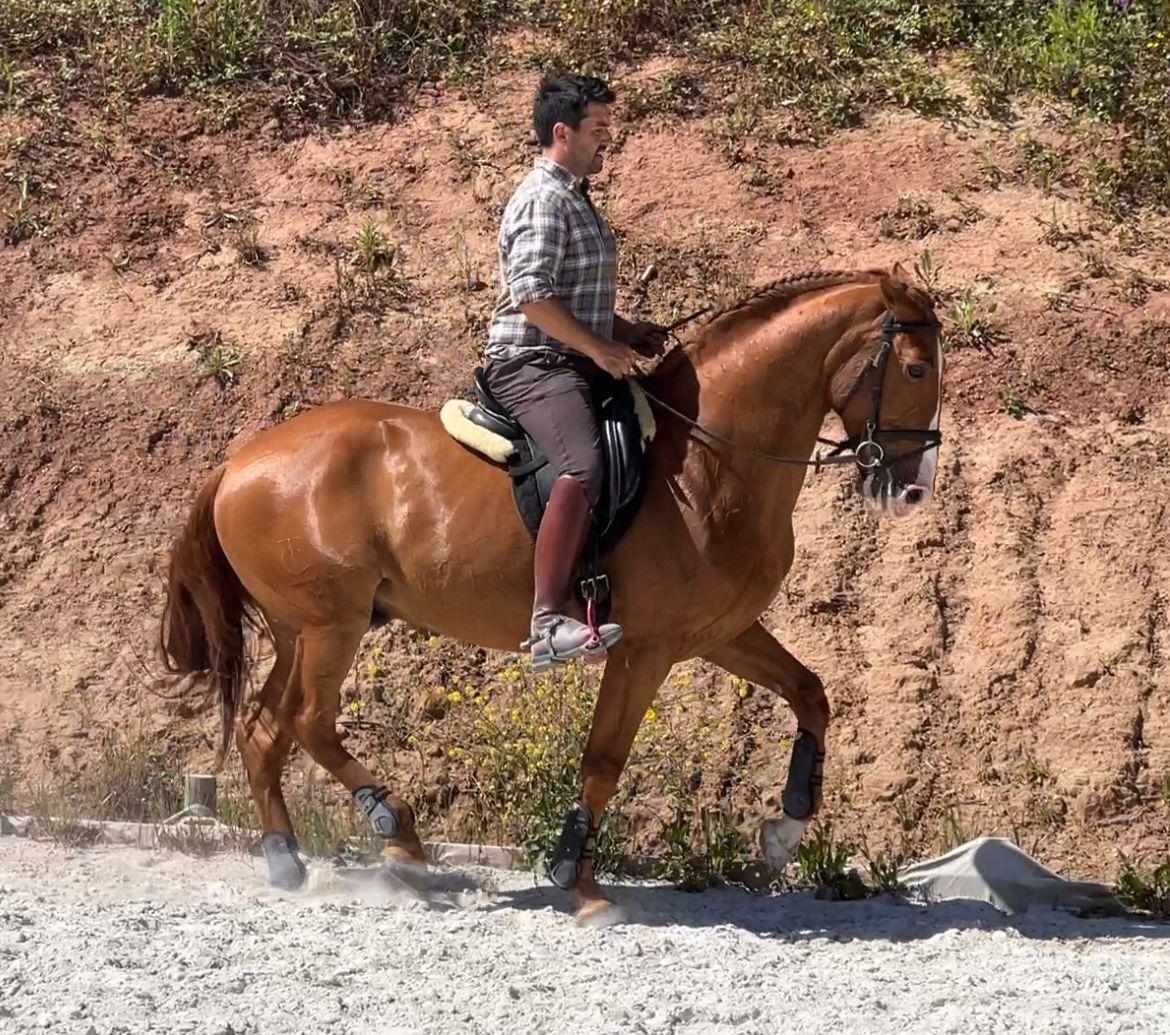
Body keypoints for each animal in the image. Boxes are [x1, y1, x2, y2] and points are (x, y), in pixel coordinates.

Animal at [159, 265, 943, 920]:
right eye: (913, 368)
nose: (912, 491)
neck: (707, 458)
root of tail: (238, 461)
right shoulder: (646, 647)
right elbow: (603, 758)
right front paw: (581, 881)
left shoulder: (719, 633)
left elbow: (811, 692)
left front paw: (784, 828)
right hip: (333, 626)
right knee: (309, 720)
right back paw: (398, 832)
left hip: (300, 628)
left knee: (265, 727)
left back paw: (287, 860)